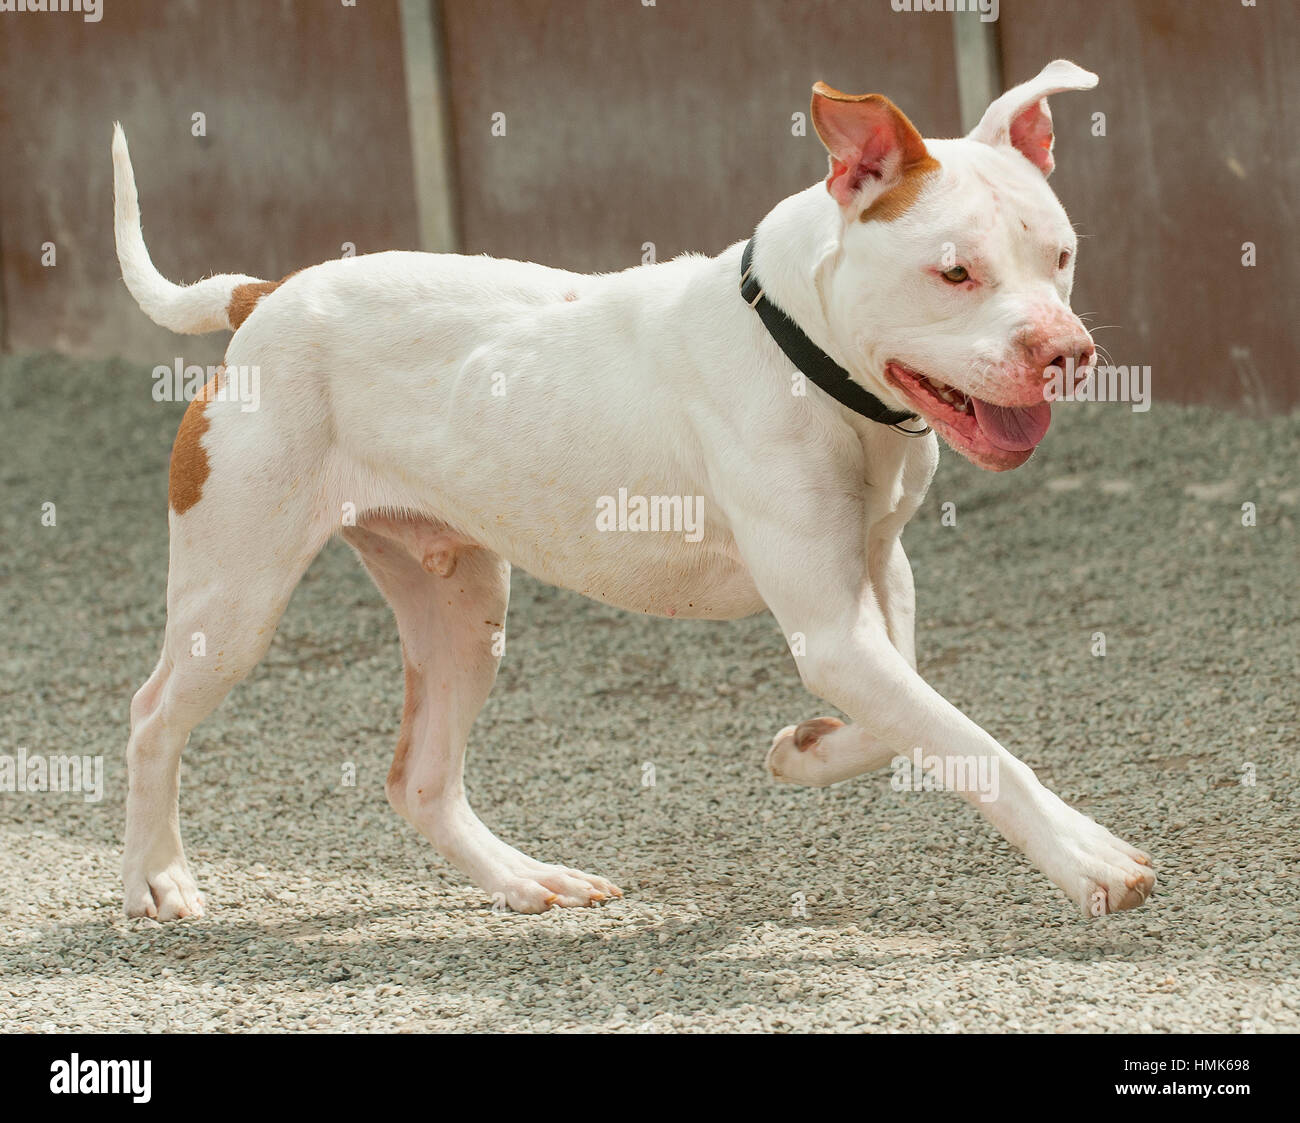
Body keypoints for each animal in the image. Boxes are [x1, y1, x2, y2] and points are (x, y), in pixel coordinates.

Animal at [109, 59, 1149, 920]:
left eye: (1060, 254)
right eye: (955, 272)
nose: (1067, 351)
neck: (804, 351)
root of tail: (267, 293)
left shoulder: (875, 582)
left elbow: (913, 720)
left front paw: (809, 749)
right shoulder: (834, 628)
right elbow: (969, 741)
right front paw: (1088, 860)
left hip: (461, 605)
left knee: (420, 779)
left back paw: (526, 879)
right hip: (235, 600)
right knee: (152, 715)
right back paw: (158, 878)